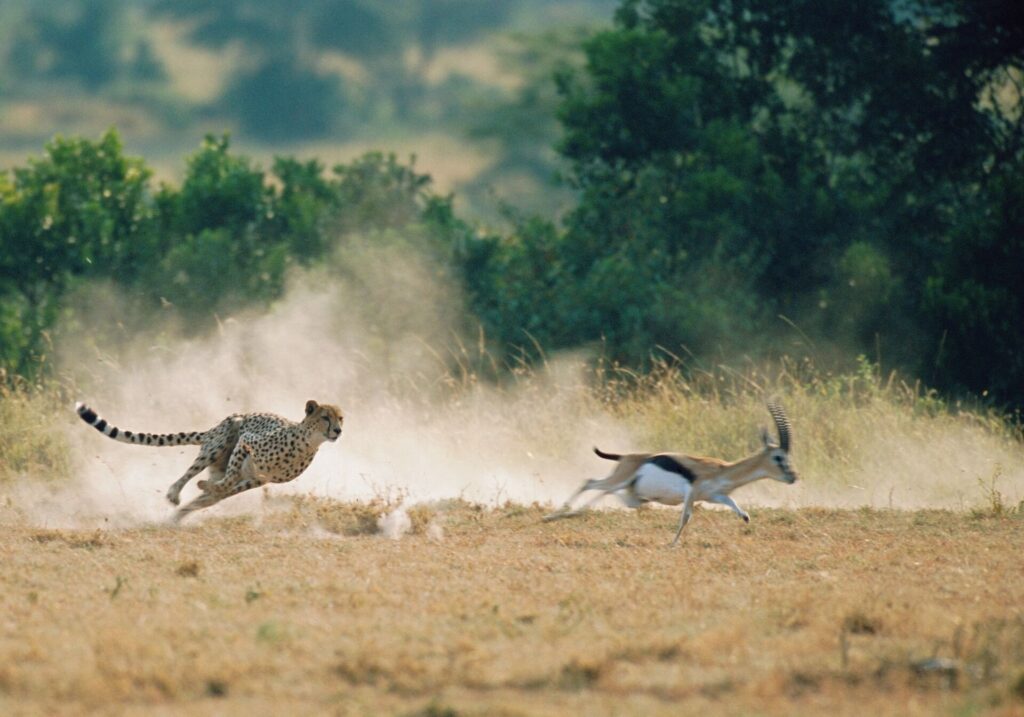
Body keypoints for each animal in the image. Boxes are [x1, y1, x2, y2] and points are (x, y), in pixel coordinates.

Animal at [75, 399, 344, 522]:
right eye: (325, 417)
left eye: (340, 418)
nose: (338, 430)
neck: (306, 443)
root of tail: (213, 428)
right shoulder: (245, 440)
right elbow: (231, 476)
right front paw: (207, 487)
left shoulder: (260, 479)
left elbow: (227, 486)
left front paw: (211, 490)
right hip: (221, 440)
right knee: (190, 474)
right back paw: (175, 493)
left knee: (208, 495)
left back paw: (177, 516)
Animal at [543, 402, 798, 545]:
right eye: (779, 457)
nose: (793, 477)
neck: (722, 469)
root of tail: (626, 457)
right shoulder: (691, 492)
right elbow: (686, 517)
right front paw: (673, 544)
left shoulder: (714, 496)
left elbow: (737, 507)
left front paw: (745, 518)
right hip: (620, 481)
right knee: (591, 484)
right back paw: (554, 517)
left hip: (632, 496)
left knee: (598, 488)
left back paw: (564, 514)